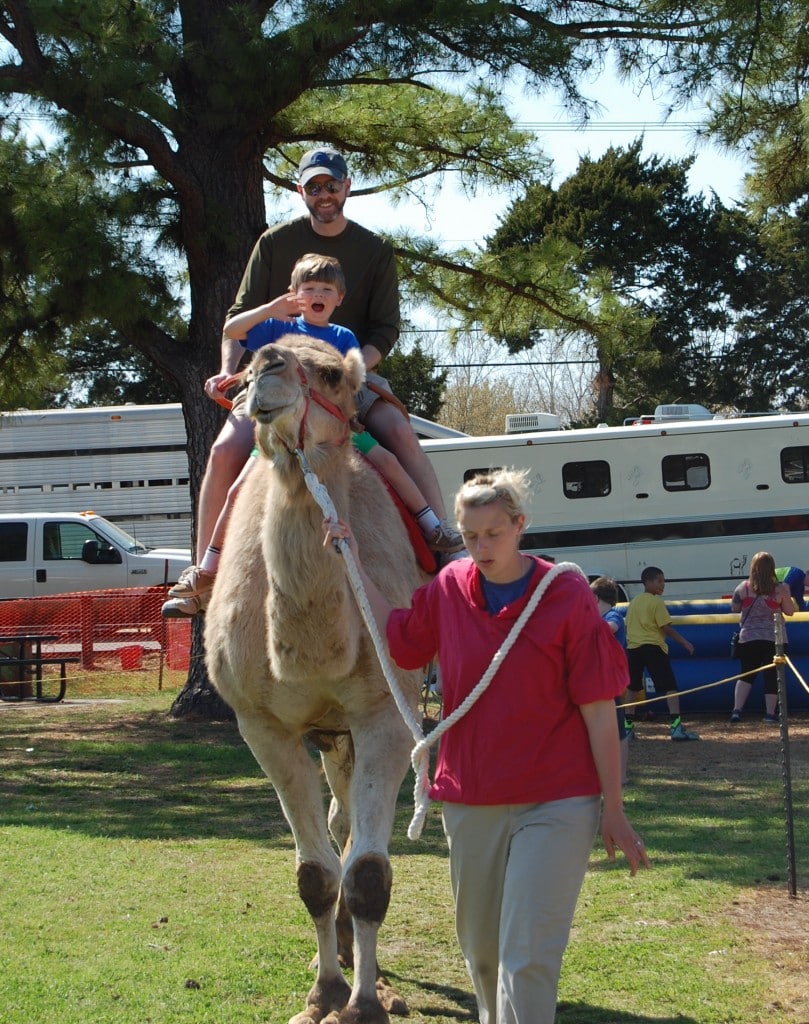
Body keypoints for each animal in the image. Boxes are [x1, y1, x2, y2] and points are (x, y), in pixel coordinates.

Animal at [204, 339, 423, 1024]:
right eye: (247, 366)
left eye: (329, 373)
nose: (269, 369)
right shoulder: (261, 724)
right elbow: (314, 874)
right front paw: (324, 993)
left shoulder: (385, 713)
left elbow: (368, 874)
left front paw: (366, 1003)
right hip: (326, 734)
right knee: (336, 827)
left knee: (348, 829)